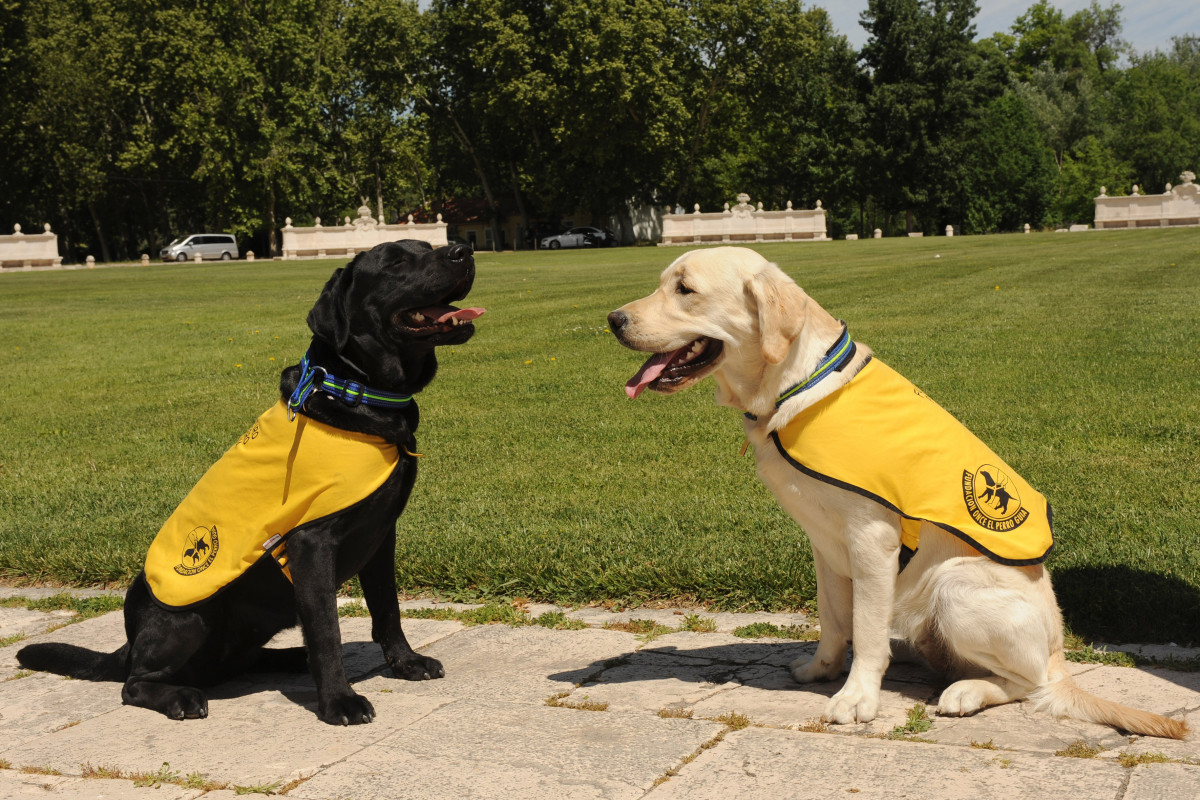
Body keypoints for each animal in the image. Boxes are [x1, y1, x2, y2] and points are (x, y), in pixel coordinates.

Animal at [16, 237, 480, 724]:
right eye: (395, 262)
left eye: (427, 247)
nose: (463, 250)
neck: (356, 391)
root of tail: (128, 642)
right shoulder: (311, 544)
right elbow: (327, 629)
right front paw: (339, 701)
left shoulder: (380, 535)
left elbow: (387, 609)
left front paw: (406, 663)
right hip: (190, 616)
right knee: (134, 683)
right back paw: (180, 696)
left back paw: (291, 659)